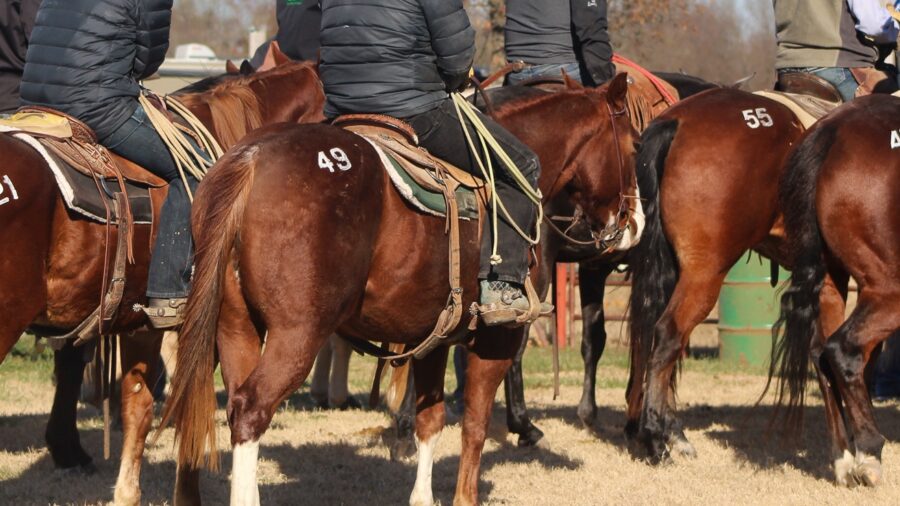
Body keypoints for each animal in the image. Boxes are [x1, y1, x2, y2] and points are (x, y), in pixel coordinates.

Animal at [161, 73, 638, 505]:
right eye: (635, 145)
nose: (633, 225)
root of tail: (251, 160)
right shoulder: (496, 340)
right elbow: (475, 424)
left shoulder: (434, 338)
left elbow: (431, 420)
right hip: (296, 334)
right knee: (251, 410)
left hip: (236, 328)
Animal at [771, 93, 900, 486]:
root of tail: (835, 130)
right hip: (888, 288)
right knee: (843, 350)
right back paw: (869, 452)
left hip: (831, 283)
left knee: (821, 353)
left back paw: (846, 458)